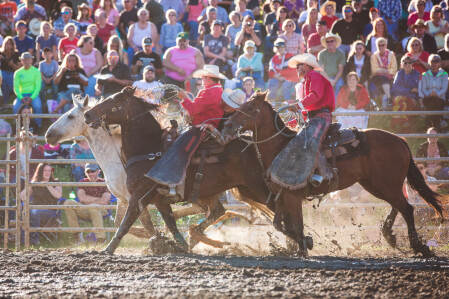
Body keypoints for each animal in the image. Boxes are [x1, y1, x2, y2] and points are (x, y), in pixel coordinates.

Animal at [83, 86, 272, 255]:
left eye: (114, 100)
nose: (87, 114)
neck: (149, 150)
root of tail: (252, 143)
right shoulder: (159, 200)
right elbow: (171, 224)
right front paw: (178, 246)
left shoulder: (138, 196)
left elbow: (125, 223)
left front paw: (108, 249)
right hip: (227, 190)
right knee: (218, 211)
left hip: (255, 186)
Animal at [222, 91, 446, 258]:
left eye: (250, 108)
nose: (228, 126)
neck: (280, 147)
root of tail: (400, 140)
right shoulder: (281, 196)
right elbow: (281, 225)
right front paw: (306, 242)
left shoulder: (292, 196)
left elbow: (296, 225)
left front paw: (304, 247)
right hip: (376, 184)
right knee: (398, 205)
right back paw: (389, 234)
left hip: (385, 183)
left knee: (407, 208)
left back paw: (419, 247)